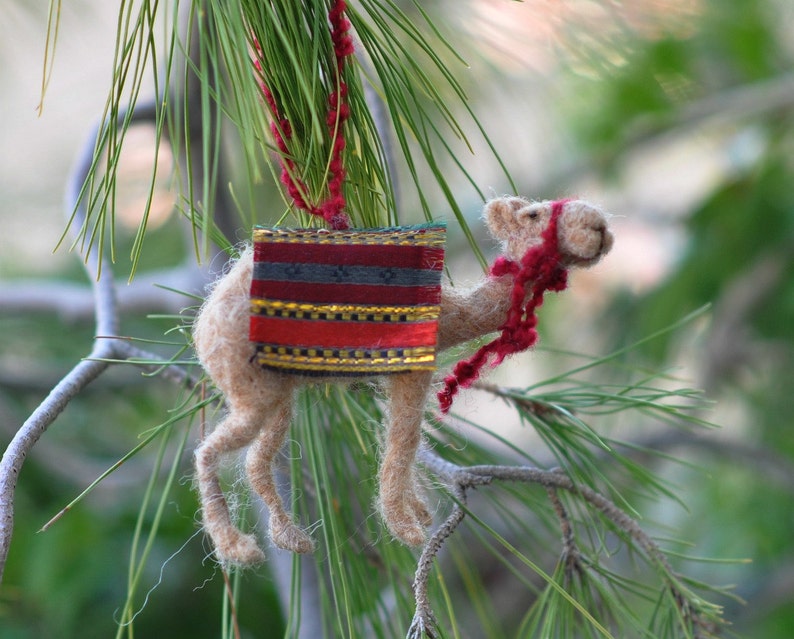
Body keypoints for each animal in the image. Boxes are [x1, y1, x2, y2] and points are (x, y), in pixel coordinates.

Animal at [192, 196, 612, 564]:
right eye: (533, 214)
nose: (598, 226)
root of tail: (202, 332)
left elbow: (402, 443)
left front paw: (420, 513)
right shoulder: (411, 374)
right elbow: (403, 443)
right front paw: (407, 529)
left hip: (277, 393)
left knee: (255, 462)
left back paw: (291, 539)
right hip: (253, 391)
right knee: (207, 451)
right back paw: (238, 549)